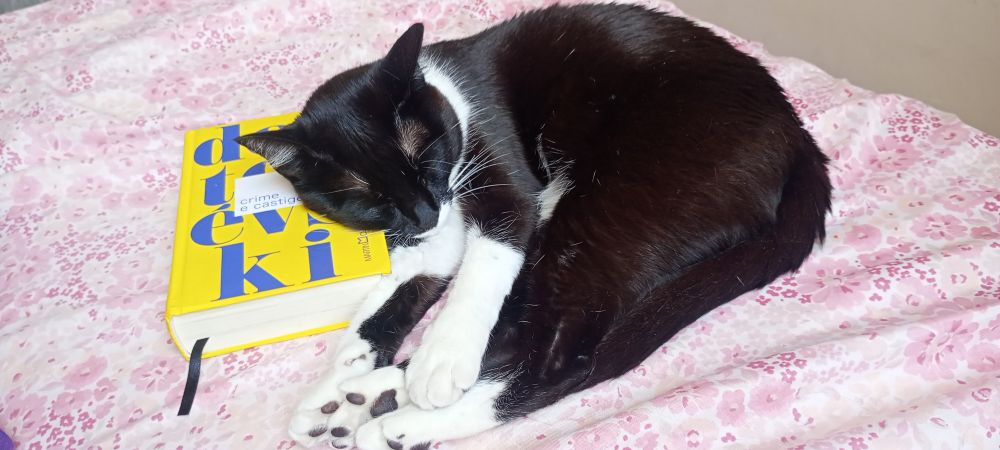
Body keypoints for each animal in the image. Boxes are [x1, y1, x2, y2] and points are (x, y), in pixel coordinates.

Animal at [236, 4, 832, 449]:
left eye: (424, 160)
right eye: (369, 198)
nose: (425, 213)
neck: (449, 96)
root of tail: (798, 138)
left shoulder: (502, 174)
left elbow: (481, 269)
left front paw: (441, 358)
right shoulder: (425, 241)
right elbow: (381, 307)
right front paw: (335, 380)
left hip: (614, 204)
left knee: (560, 356)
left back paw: (399, 419)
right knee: (526, 334)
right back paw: (356, 401)